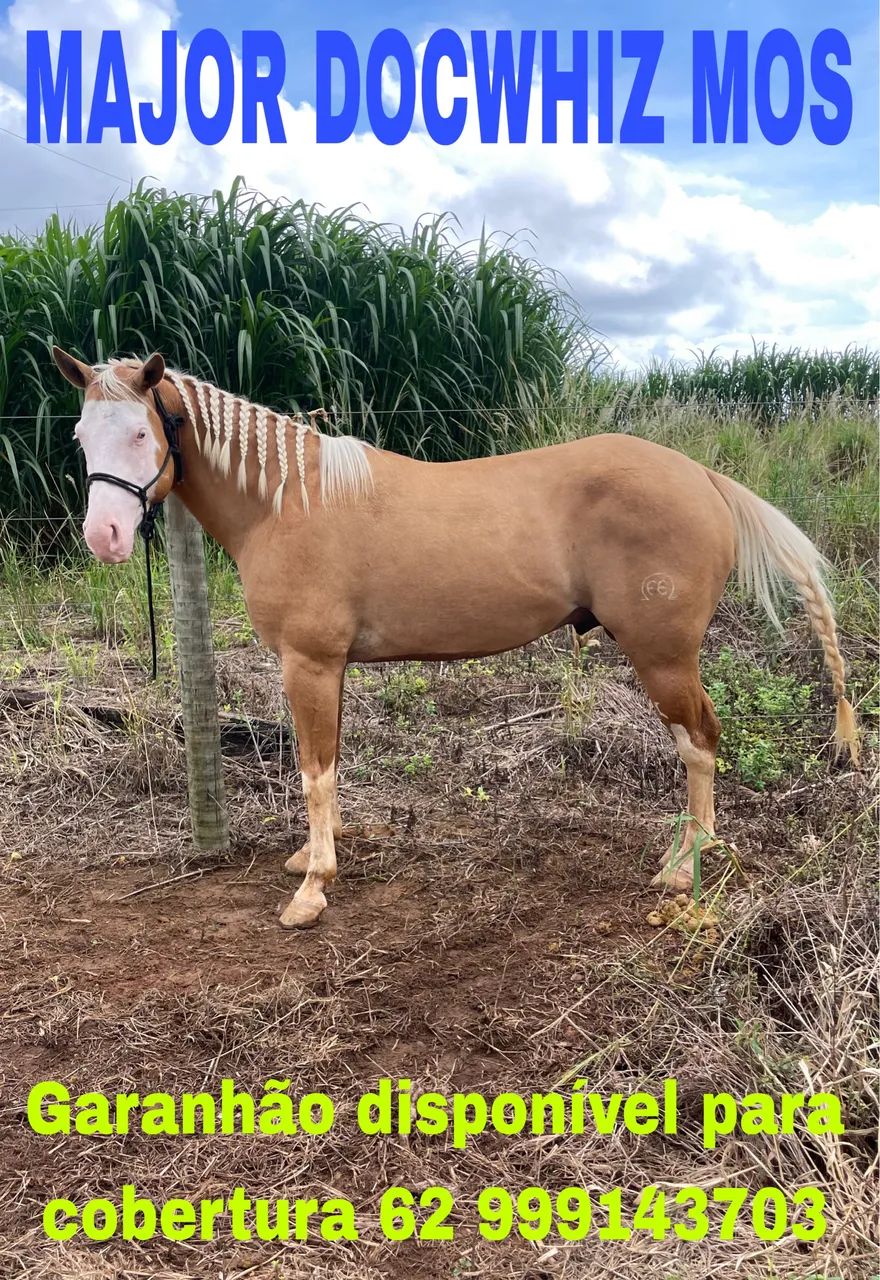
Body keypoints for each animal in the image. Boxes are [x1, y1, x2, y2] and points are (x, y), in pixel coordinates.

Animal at [53, 346, 859, 928]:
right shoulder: (327, 668)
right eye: (81, 434)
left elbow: (313, 772)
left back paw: (680, 867)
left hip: (663, 657)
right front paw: (314, 856)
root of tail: (702, 477)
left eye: (141, 432)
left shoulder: (307, 664)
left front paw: (312, 889)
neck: (288, 501)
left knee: (698, 742)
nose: (105, 535)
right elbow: (329, 764)